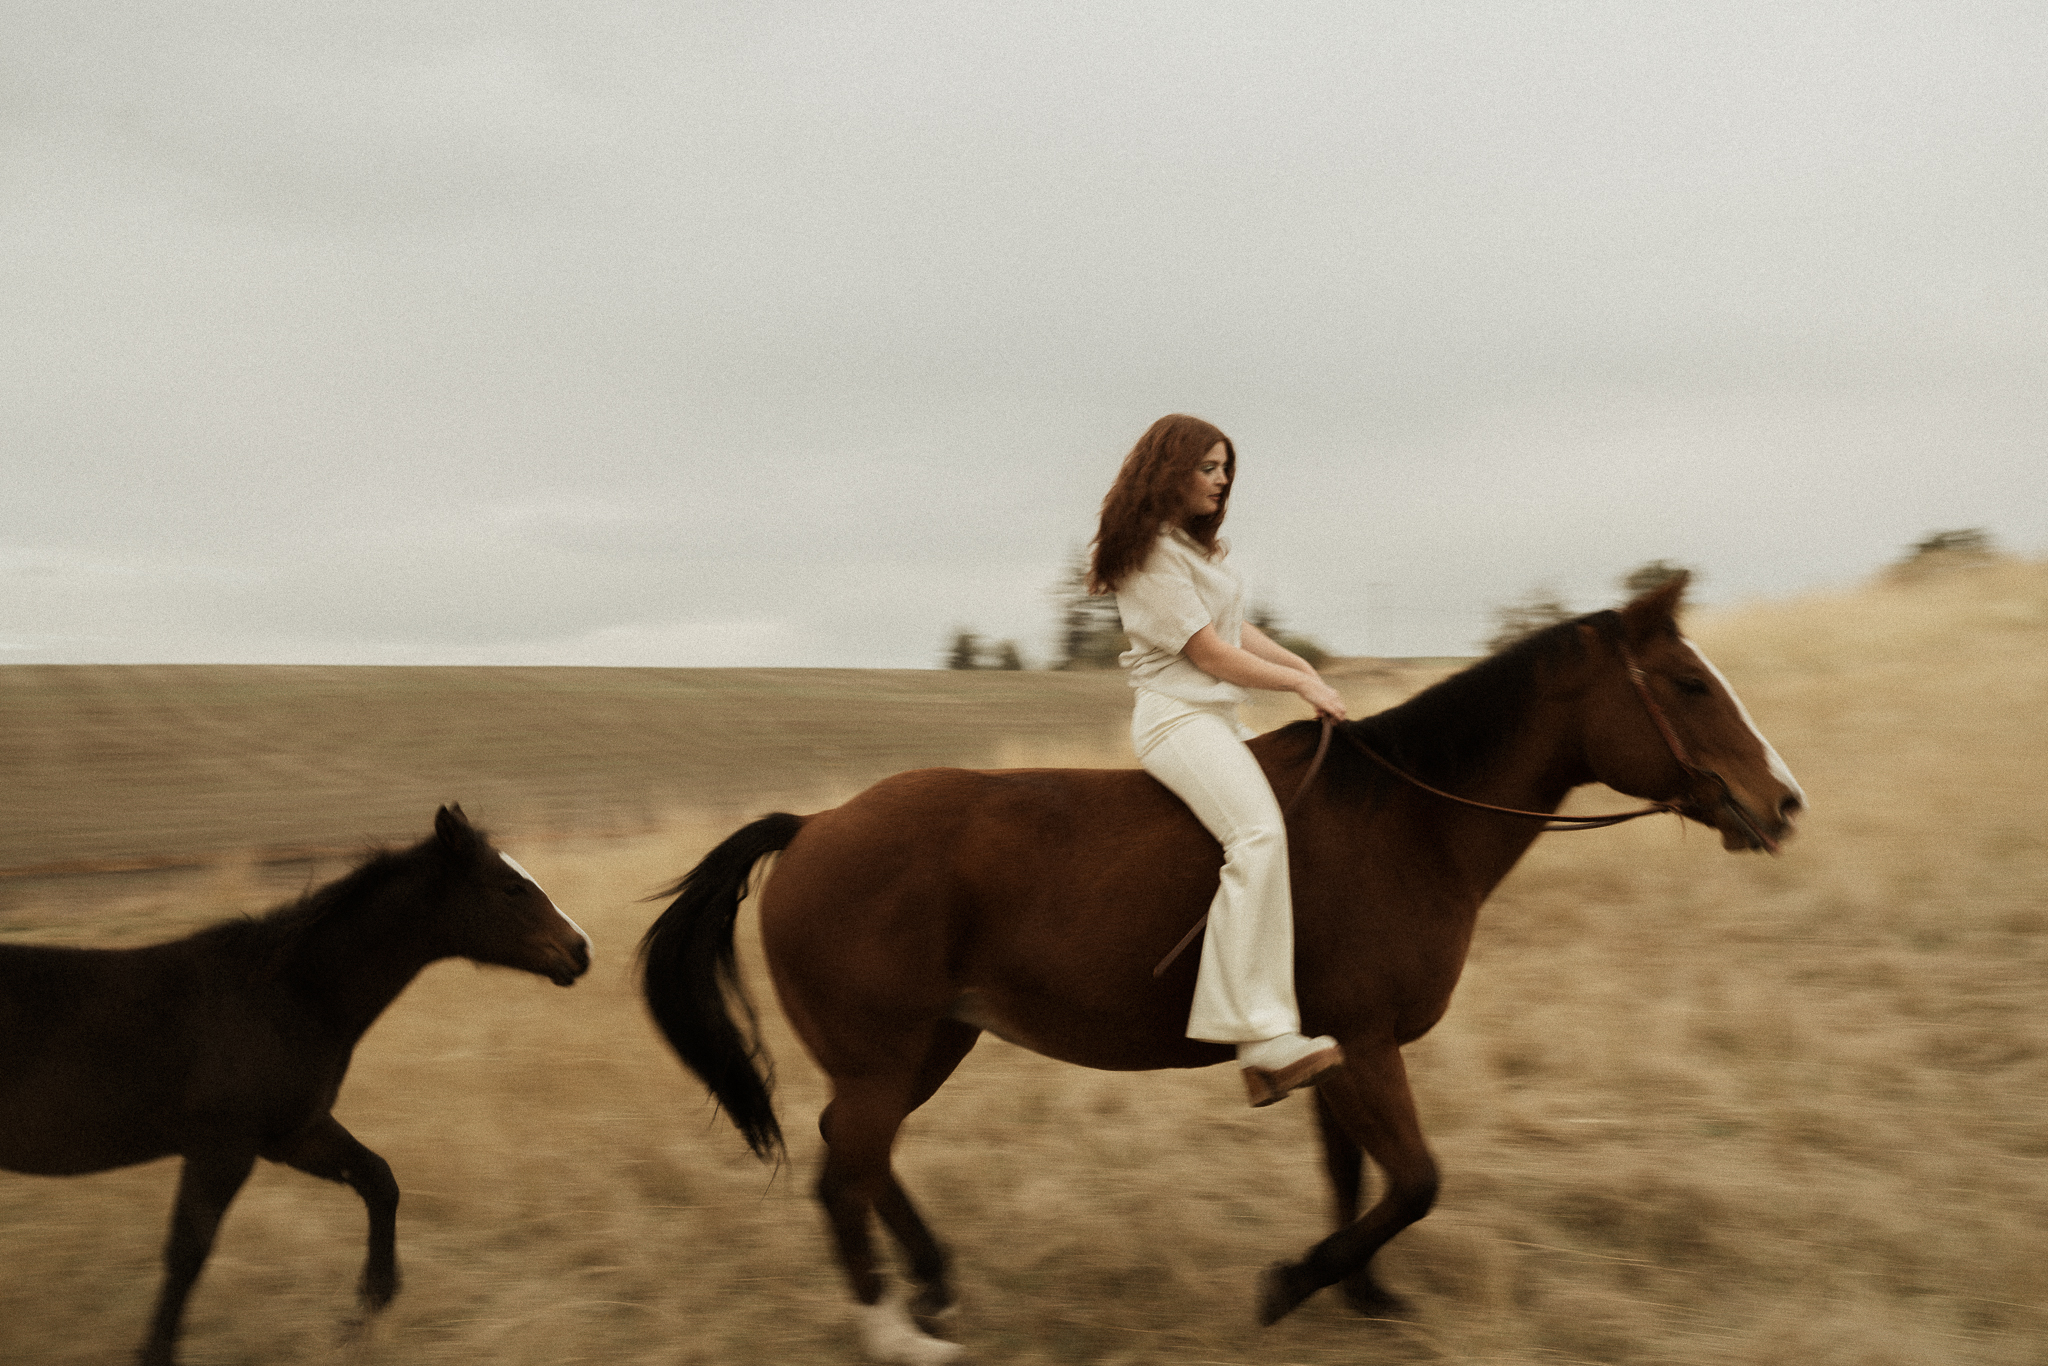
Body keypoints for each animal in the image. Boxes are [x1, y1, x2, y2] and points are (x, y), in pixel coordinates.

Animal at [0, 806, 593, 1359]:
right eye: (512, 887)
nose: (581, 950)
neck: (287, 998)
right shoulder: (224, 1147)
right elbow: (188, 1251)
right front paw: (156, 1352)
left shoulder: (294, 1134)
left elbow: (380, 1180)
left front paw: (366, 1310)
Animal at [643, 573, 1810, 1359]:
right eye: (1688, 684)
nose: (1784, 802)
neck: (1408, 821)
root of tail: (813, 826)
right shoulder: (1368, 1040)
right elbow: (1414, 1179)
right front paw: (1293, 1284)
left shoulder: (1334, 1044)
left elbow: (1353, 1175)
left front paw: (1365, 1297)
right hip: (887, 1057)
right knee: (844, 1170)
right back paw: (898, 1330)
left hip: (930, 1043)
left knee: (858, 1154)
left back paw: (930, 1288)